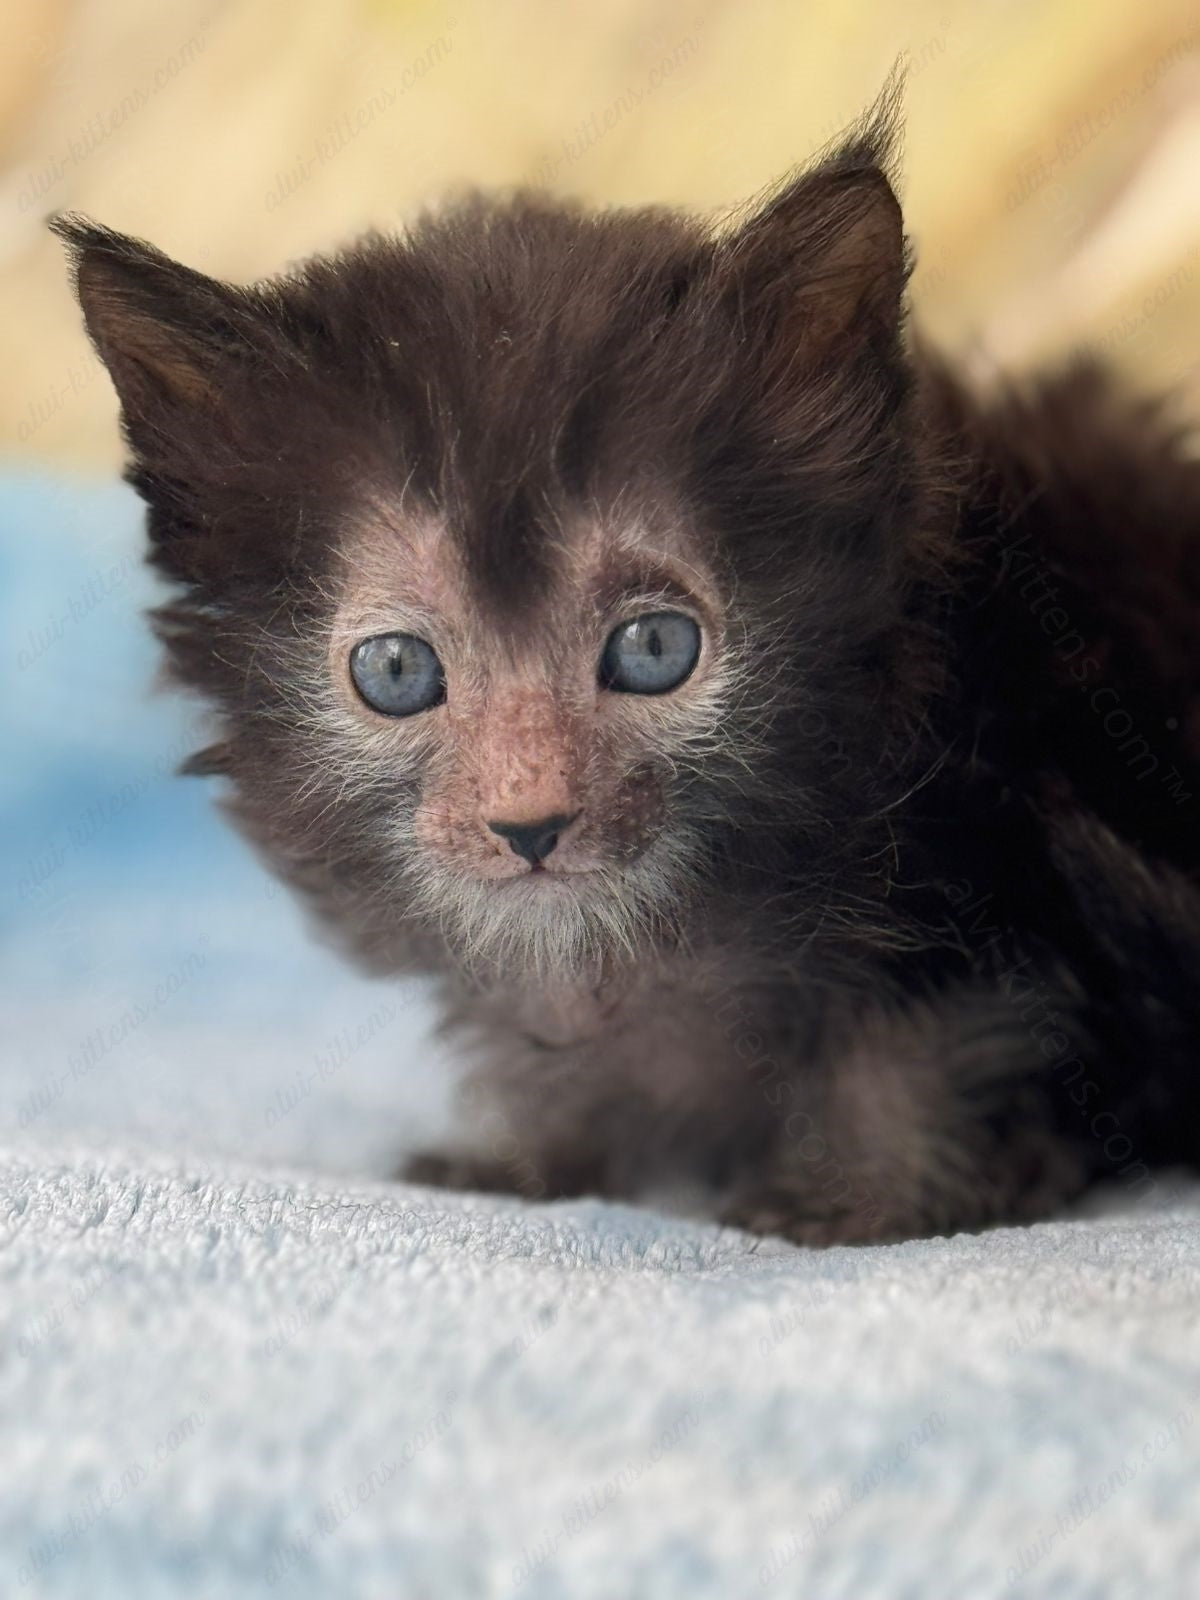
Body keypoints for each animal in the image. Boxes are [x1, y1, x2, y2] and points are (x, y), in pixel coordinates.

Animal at [54, 103, 1200, 1248]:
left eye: (654, 650)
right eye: (397, 670)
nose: (531, 823)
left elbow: (927, 1048)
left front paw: (865, 1199)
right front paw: (526, 1156)